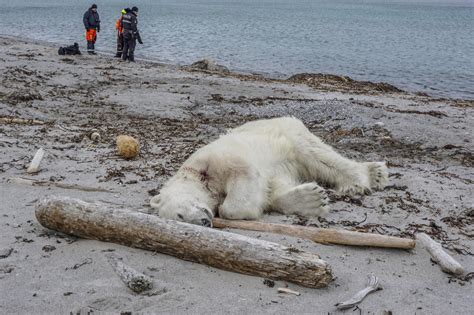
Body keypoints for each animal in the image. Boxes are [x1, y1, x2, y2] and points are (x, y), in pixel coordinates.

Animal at [152, 117, 388, 226]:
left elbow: (242, 179)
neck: (197, 176)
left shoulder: (215, 159)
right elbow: (273, 189)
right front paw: (312, 199)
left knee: (317, 155)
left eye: (180, 214)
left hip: (289, 133)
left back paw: (365, 177)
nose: (204, 221)